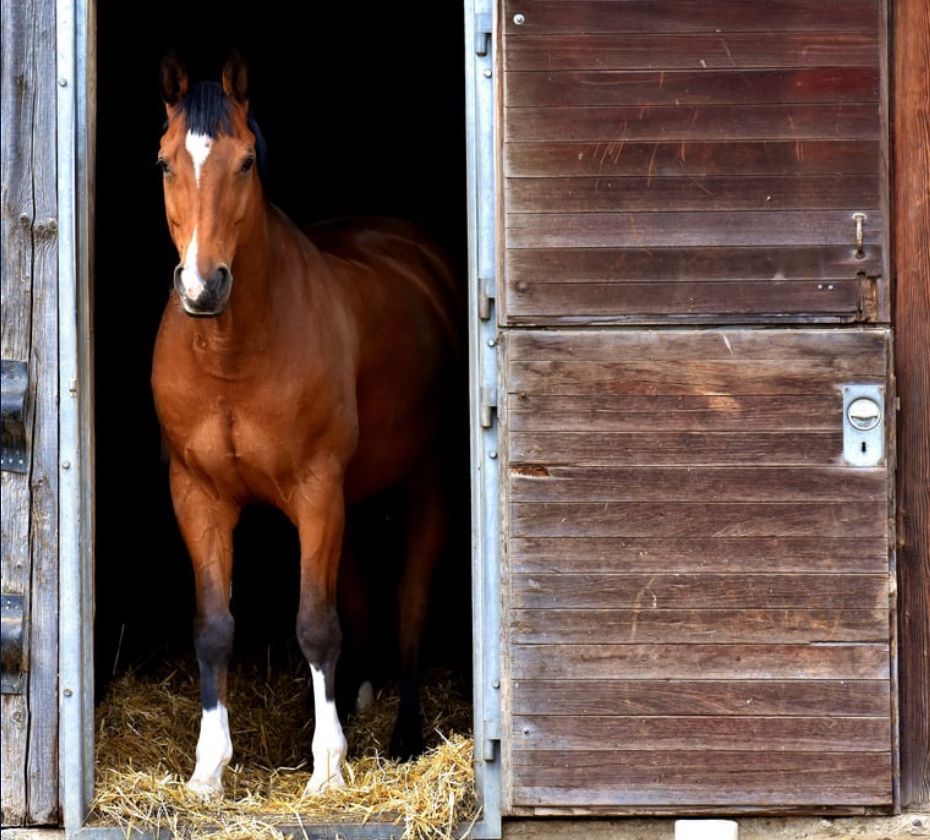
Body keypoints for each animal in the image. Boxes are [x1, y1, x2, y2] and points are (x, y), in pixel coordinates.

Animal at [150, 53, 462, 798]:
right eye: (164, 162)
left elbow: (317, 624)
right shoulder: (198, 495)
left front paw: (327, 769)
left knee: (410, 601)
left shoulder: (317, 491)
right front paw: (208, 769)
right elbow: (213, 627)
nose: (203, 287)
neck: (232, 353)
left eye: (245, 161)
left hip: (426, 482)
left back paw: (403, 735)